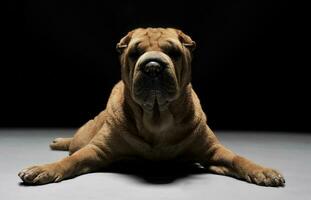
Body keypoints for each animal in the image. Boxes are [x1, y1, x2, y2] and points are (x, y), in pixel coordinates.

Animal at [17, 27, 286, 187]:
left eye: (173, 52)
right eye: (134, 53)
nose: (153, 67)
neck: (157, 118)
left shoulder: (214, 152)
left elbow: (239, 158)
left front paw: (263, 171)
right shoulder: (96, 150)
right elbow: (71, 161)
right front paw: (43, 169)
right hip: (84, 137)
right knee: (73, 146)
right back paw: (59, 141)